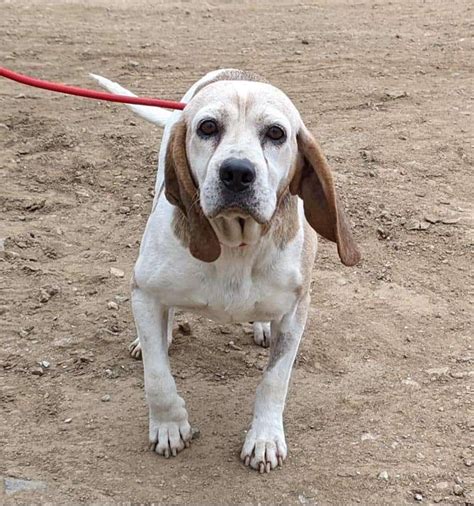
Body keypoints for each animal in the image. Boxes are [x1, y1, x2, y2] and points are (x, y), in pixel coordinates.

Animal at [91, 69, 360, 472]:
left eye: (276, 134)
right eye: (207, 127)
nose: (236, 172)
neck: (236, 245)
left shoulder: (296, 312)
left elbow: (274, 382)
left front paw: (264, 438)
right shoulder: (144, 291)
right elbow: (157, 377)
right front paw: (169, 425)